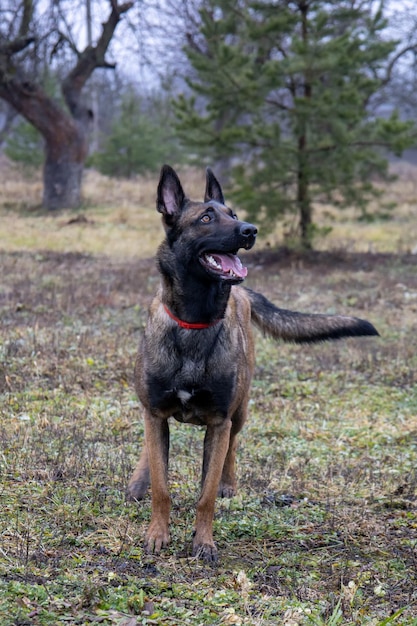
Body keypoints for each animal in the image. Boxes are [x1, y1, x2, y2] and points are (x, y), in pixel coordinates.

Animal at [127, 165, 376, 560]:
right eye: (206, 218)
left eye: (233, 213)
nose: (250, 230)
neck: (195, 323)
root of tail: (243, 292)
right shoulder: (155, 412)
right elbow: (162, 486)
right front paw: (157, 534)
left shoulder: (219, 420)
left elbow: (206, 494)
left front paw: (204, 541)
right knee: (152, 447)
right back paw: (140, 480)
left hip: (241, 409)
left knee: (232, 445)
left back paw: (228, 483)